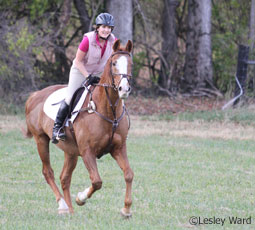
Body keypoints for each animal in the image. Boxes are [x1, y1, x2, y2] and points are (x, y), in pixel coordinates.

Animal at [24, 39, 133, 217]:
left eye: (130, 64)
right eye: (114, 63)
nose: (124, 89)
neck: (108, 110)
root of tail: (35, 95)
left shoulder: (118, 148)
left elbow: (128, 174)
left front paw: (126, 209)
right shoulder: (87, 151)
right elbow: (97, 181)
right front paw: (81, 198)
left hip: (70, 151)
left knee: (65, 178)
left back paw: (70, 210)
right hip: (41, 140)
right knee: (48, 172)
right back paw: (62, 205)